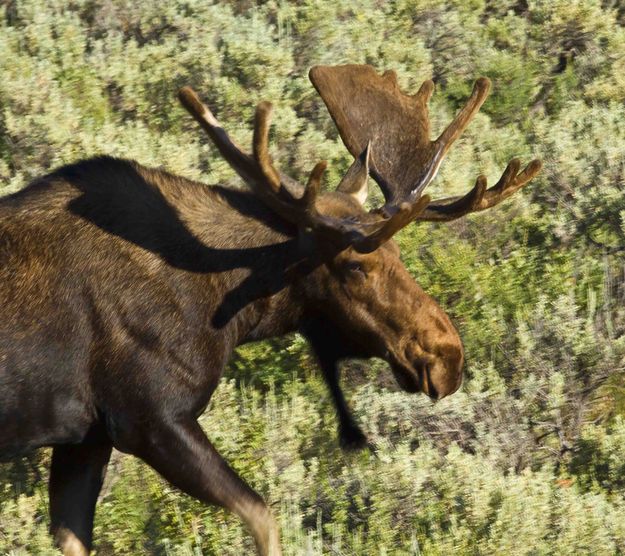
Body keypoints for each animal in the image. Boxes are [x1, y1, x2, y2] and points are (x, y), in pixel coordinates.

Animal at [0, 64, 536, 552]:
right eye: (354, 266)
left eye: (400, 254)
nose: (448, 357)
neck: (226, 309)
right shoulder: (150, 417)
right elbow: (264, 516)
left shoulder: (86, 439)